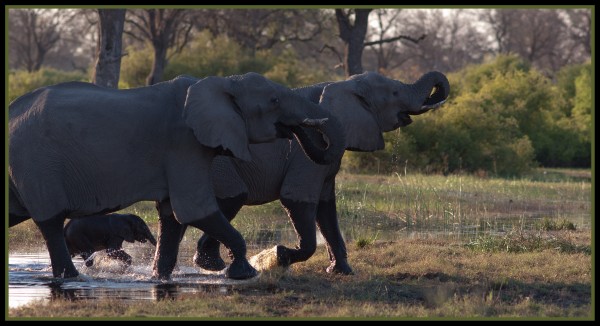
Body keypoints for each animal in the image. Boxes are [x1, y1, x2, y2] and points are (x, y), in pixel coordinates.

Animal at [8, 72, 346, 280]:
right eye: (274, 101)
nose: (279, 252)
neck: (222, 84)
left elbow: (172, 215)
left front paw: (160, 277)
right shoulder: (183, 143)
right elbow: (194, 210)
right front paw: (243, 274)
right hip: (36, 164)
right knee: (51, 223)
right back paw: (71, 277)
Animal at [155, 70, 450, 276]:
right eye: (395, 93)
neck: (341, 84)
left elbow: (327, 209)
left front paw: (341, 272)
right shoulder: (306, 159)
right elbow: (297, 199)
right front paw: (280, 255)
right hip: (215, 167)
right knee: (230, 198)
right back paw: (210, 264)